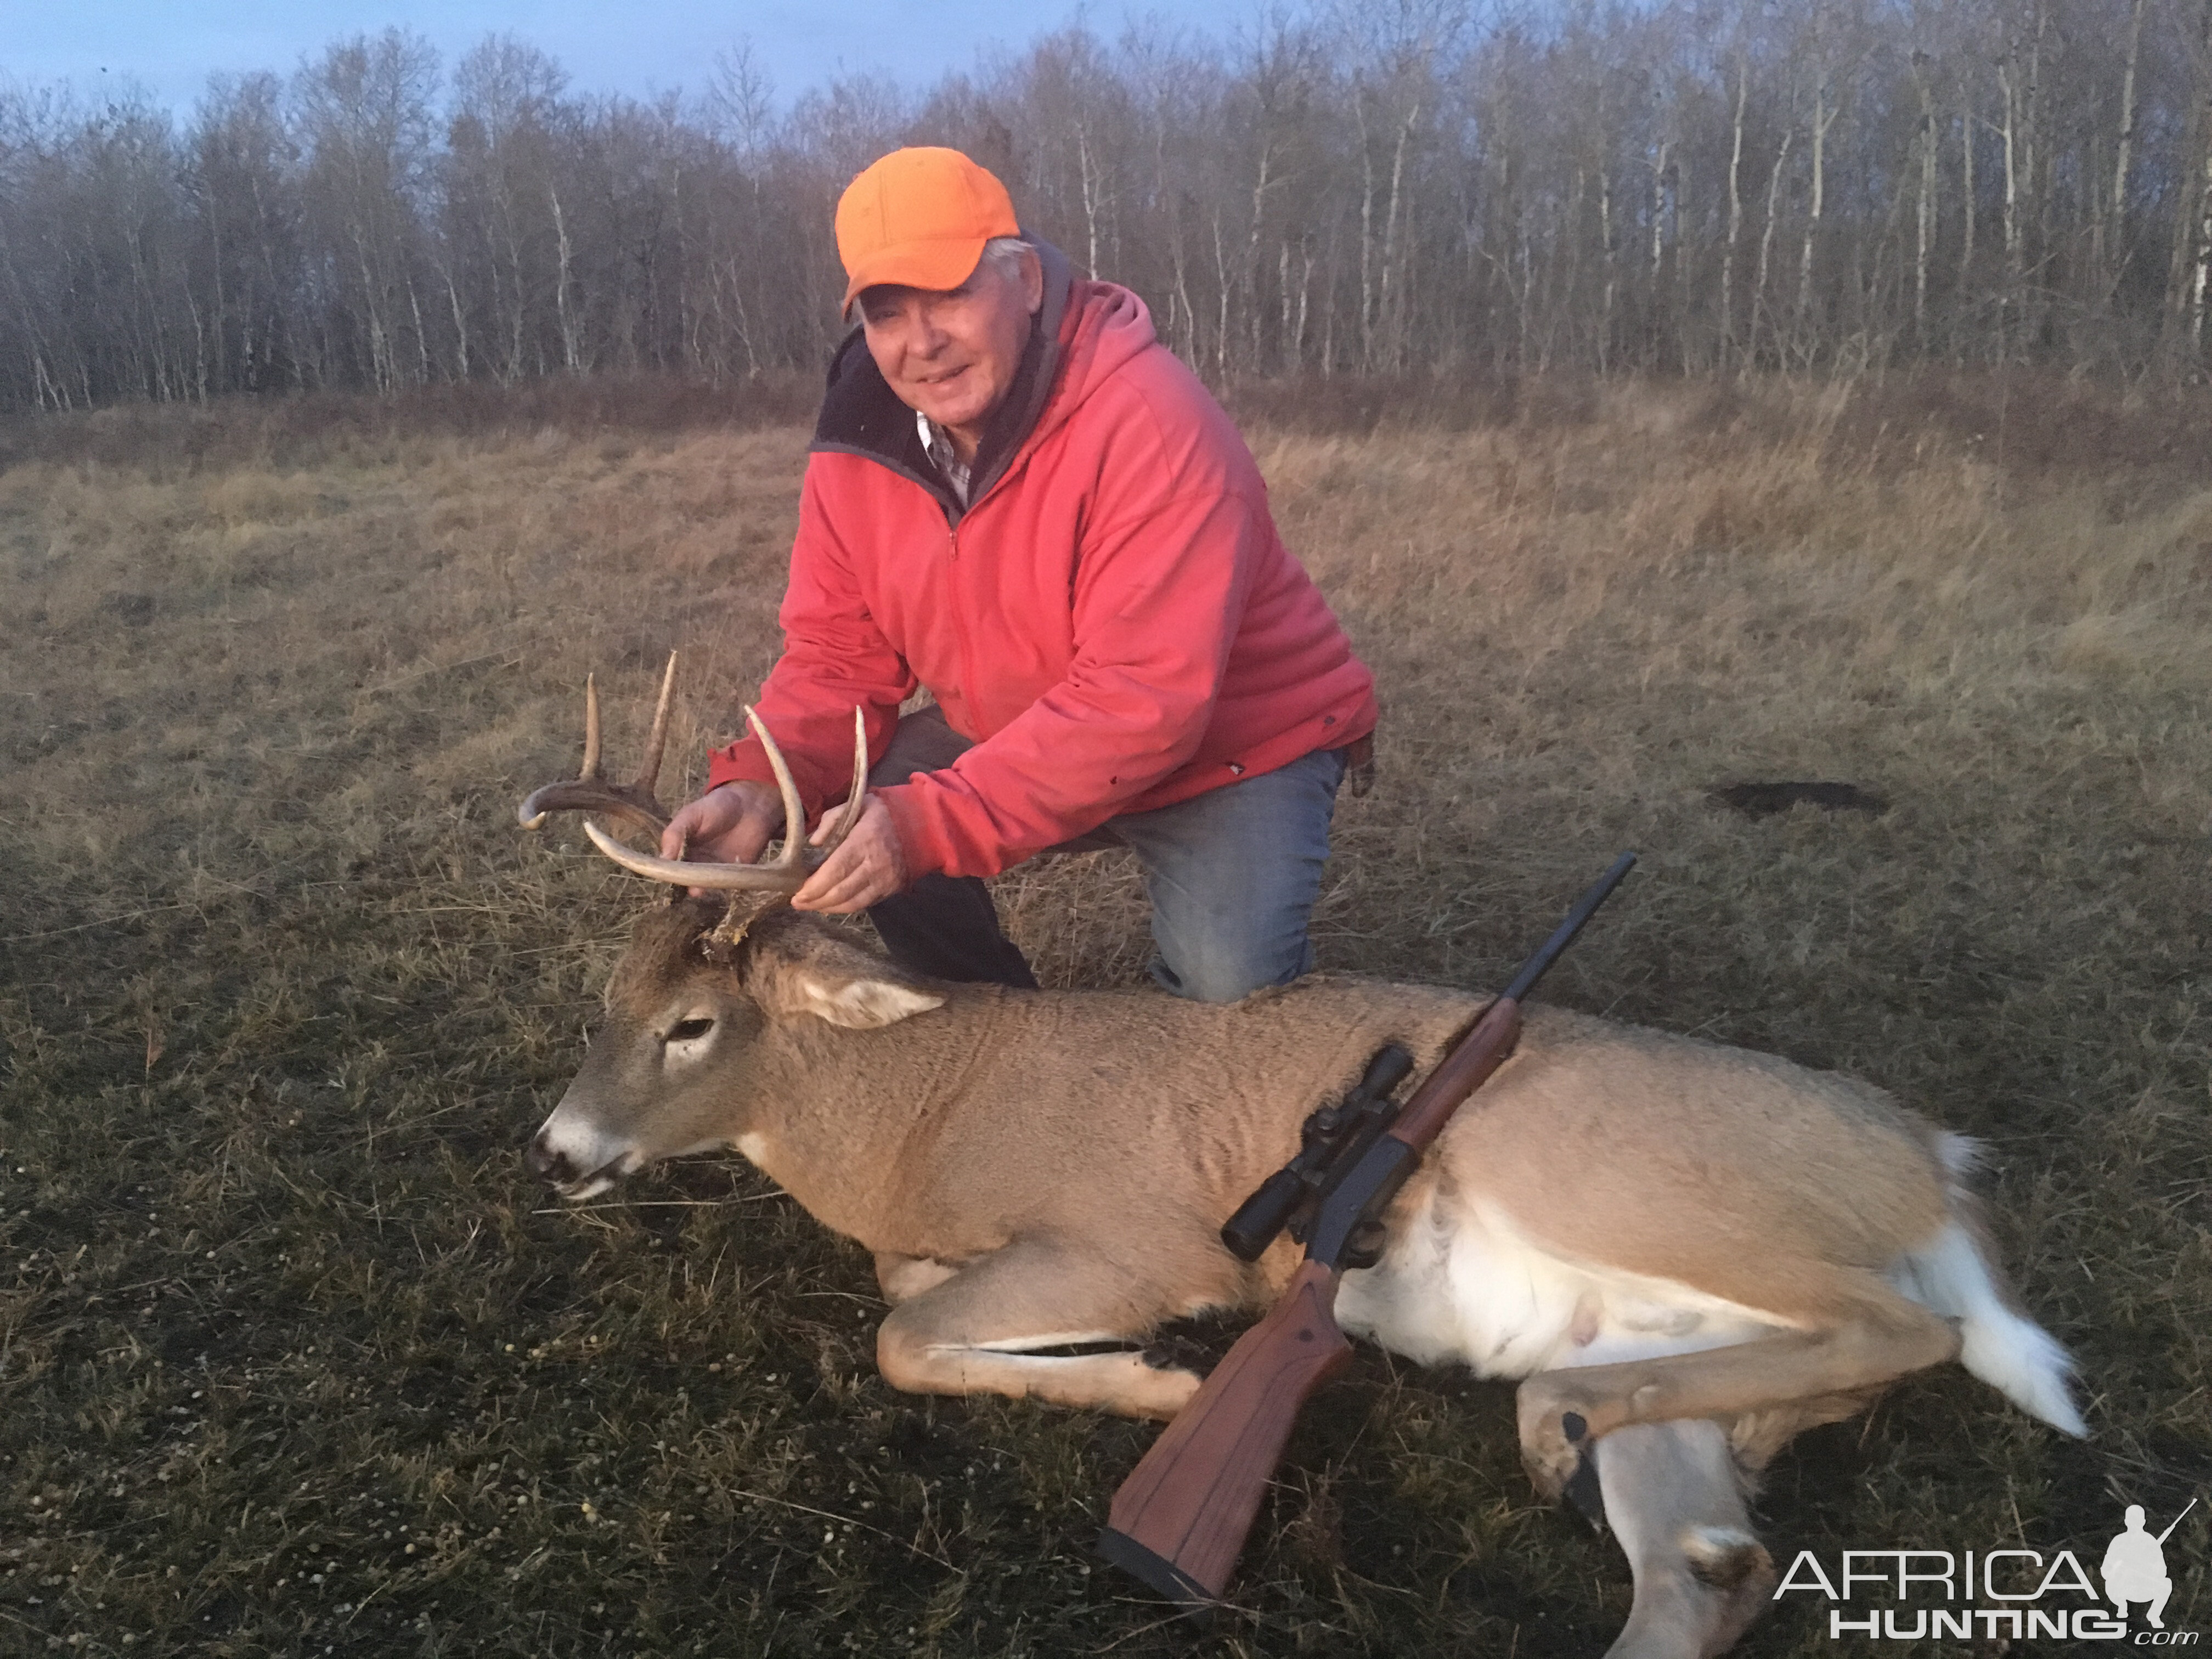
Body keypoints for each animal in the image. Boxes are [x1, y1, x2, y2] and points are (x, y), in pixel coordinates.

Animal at [513, 668, 2070, 1659]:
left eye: (693, 1023)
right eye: (605, 995)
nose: (558, 1151)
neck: (922, 1115)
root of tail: (1934, 1158)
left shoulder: (1142, 1242)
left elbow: (907, 1334)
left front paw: (1159, 1382)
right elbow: (909, 1297)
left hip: (1609, 1175)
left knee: (1910, 1330)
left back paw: (1552, 1416)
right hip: (1661, 1335)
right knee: (1709, 1567)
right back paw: (1581, 1429)